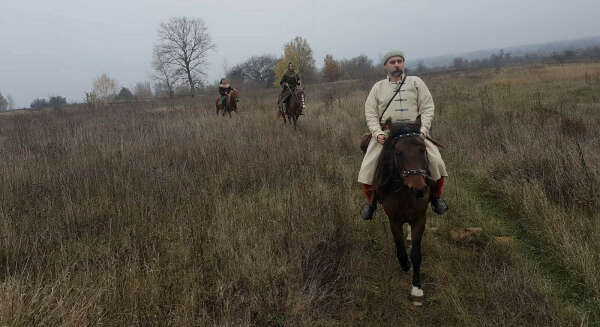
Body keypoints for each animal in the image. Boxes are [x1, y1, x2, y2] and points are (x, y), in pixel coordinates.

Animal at [370, 116, 432, 304]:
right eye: (398, 152)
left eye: (423, 149)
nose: (419, 189)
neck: (405, 192)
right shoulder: (394, 220)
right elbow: (400, 248)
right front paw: (405, 265)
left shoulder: (419, 219)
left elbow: (416, 253)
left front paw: (417, 287)